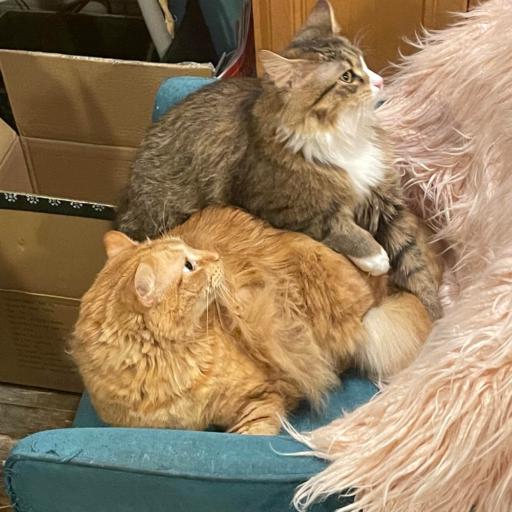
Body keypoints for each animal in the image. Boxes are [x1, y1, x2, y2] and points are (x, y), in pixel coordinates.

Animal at [115, 0, 442, 320]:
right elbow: (340, 228)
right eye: (347, 77)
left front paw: (435, 314)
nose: (380, 81)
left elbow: (413, 260)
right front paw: (375, 256)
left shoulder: (384, 201)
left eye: (362, 62)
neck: (343, 132)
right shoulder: (283, 206)